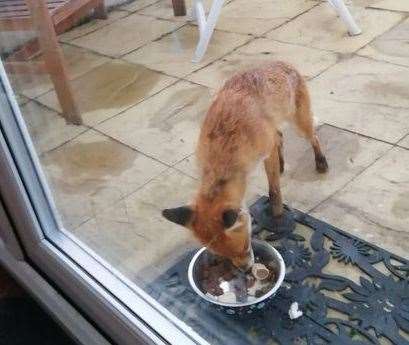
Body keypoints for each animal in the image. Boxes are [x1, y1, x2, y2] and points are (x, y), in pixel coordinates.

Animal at [161, 61, 326, 272]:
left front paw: (277, 215)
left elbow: (274, 192)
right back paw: (283, 163)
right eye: (223, 255)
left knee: (313, 137)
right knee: (280, 136)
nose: (246, 269)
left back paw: (321, 161)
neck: (225, 146)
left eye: (247, 245)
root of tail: (282, 63)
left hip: (299, 124)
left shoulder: (266, 151)